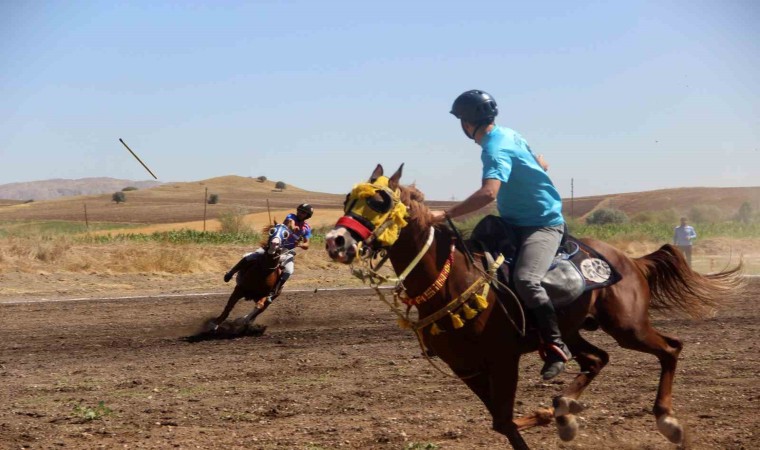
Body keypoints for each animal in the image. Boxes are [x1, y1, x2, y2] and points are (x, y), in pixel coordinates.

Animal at [322, 165, 744, 450]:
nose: (336, 240)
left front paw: (546, 415)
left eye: (379, 201)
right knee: (597, 359)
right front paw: (551, 415)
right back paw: (565, 409)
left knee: (670, 348)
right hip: (573, 330)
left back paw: (667, 420)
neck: (452, 280)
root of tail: (630, 260)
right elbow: (502, 423)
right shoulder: (466, 369)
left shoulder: (502, 360)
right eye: (347, 200)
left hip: (629, 326)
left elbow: (506, 419)